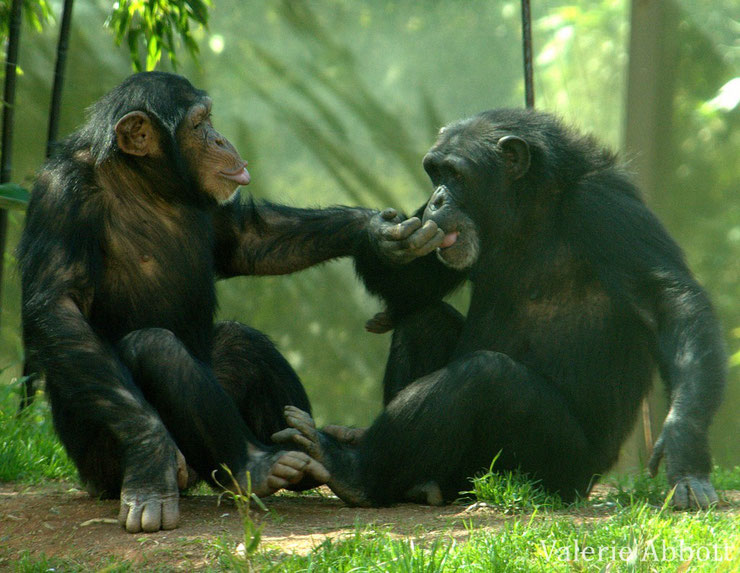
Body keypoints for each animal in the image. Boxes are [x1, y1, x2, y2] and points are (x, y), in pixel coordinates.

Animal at [14, 70, 416, 532]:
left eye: (209, 119)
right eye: (197, 124)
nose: (221, 139)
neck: (140, 180)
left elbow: (247, 239)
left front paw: (376, 233)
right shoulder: (59, 195)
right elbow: (58, 308)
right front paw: (151, 456)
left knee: (243, 342)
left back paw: (311, 454)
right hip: (100, 461)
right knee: (155, 347)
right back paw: (256, 466)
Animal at [274, 107, 728, 510]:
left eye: (455, 174)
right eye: (434, 173)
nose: (436, 199)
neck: (529, 211)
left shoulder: (606, 209)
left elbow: (668, 300)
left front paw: (684, 446)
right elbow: (414, 287)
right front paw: (379, 233)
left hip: (555, 471)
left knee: (486, 377)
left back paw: (351, 468)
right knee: (423, 321)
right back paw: (409, 480)